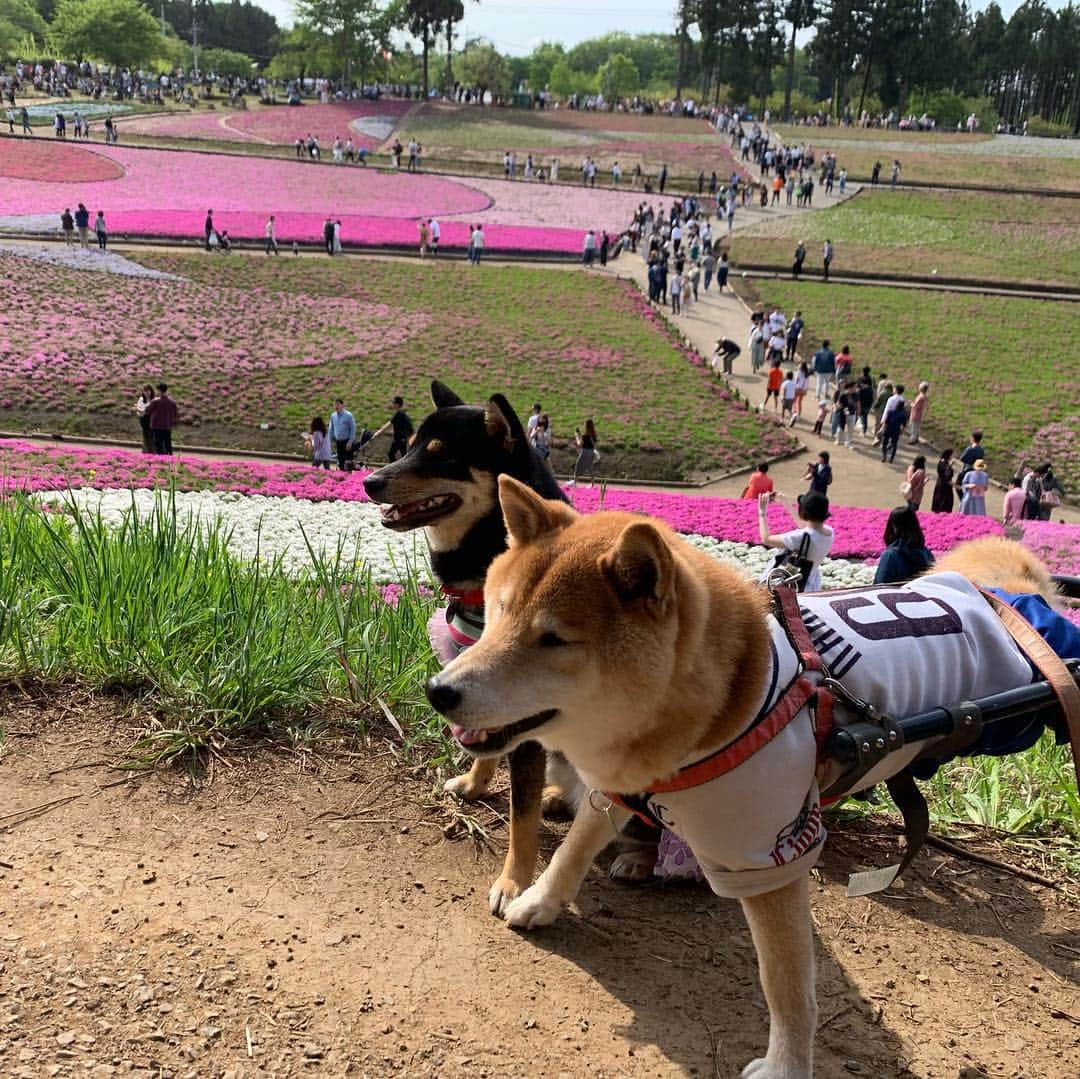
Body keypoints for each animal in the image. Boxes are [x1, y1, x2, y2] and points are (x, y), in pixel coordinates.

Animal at [425, 481, 1067, 1079]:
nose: (438, 691)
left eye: (553, 639)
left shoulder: (768, 856)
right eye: (498, 611)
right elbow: (574, 850)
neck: (724, 706)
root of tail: (999, 595)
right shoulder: (622, 782)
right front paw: (539, 900)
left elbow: (785, 983)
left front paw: (785, 1066)